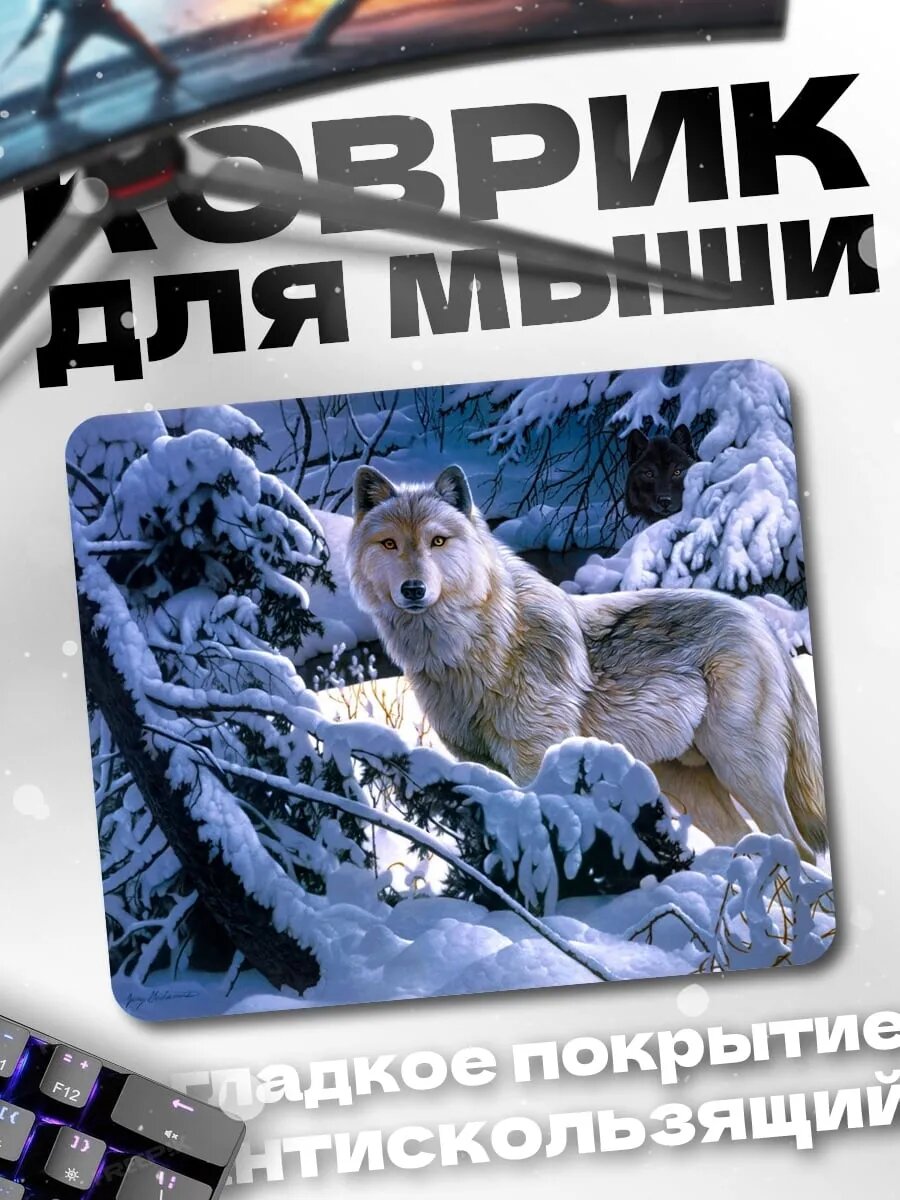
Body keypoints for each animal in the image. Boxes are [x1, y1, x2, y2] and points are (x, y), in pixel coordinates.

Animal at [346, 464, 827, 862]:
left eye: (437, 541)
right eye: (389, 544)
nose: (413, 589)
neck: (475, 650)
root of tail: (760, 622)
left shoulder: (535, 761)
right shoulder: (484, 768)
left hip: (741, 770)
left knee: (797, 848)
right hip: (687, 783)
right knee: (747, 842)